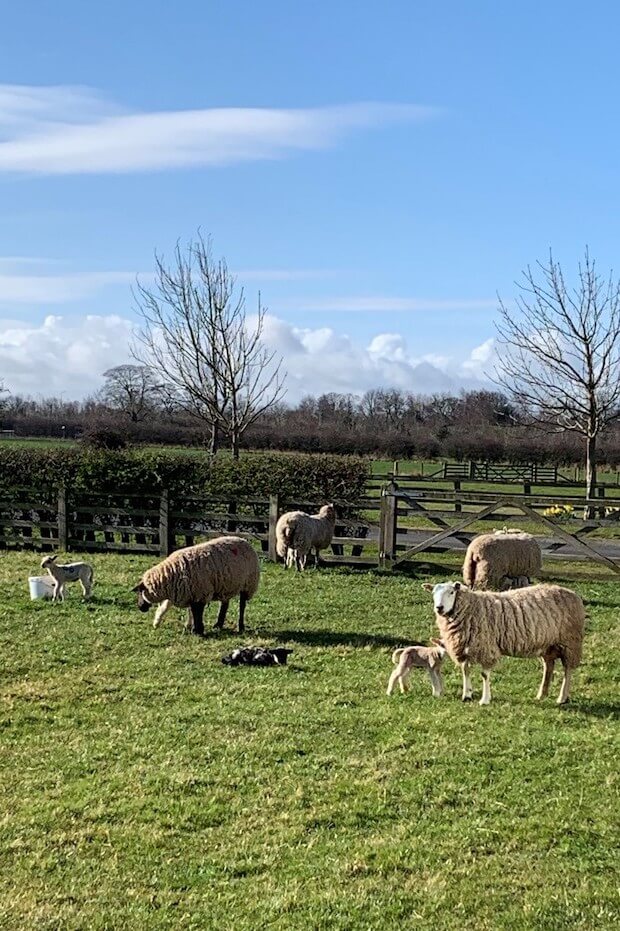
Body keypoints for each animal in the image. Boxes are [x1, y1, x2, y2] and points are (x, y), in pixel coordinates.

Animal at [132, 536, 260, 636]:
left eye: (140, 592)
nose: (140, 607)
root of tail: (244, 540)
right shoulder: (187, 593)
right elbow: (179, 609)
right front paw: (157, 622)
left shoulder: (200, 593)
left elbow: (197, 612)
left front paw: (197, 630)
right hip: (226, 585)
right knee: (225, 604)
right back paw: (218, 624)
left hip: (248, 584)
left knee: (242, 606)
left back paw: (240, 626)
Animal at [422, 584, 588, 708]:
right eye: (433, 593)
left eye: (451, 592)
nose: (439, 608)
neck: (471, 607)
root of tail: (573, 594)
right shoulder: (465, 648)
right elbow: (465, 670)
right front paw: (466, 695)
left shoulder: (486, 647)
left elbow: (484, 675)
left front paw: (484, 700)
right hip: (548, 644)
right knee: (549, 666)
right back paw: (541, 695)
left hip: (570, 642)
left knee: (568, 669)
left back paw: (562, 698)